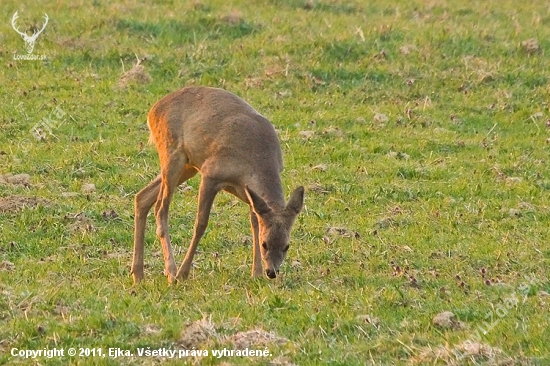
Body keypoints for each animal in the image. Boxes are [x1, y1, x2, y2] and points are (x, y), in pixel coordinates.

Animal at [132, 86, 308, 284]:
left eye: (287, 246)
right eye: (265, 244)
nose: (272, 272)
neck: (256, 160)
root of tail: (153, 111)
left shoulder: (250, 195)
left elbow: (255, 224)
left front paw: (256, 273)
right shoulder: (211, 174)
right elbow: (200, 224)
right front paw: (183, 273)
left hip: (188, 165)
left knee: (142, 197)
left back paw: (138, 274)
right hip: (172, 154)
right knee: (160, 209)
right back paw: (172, 272)